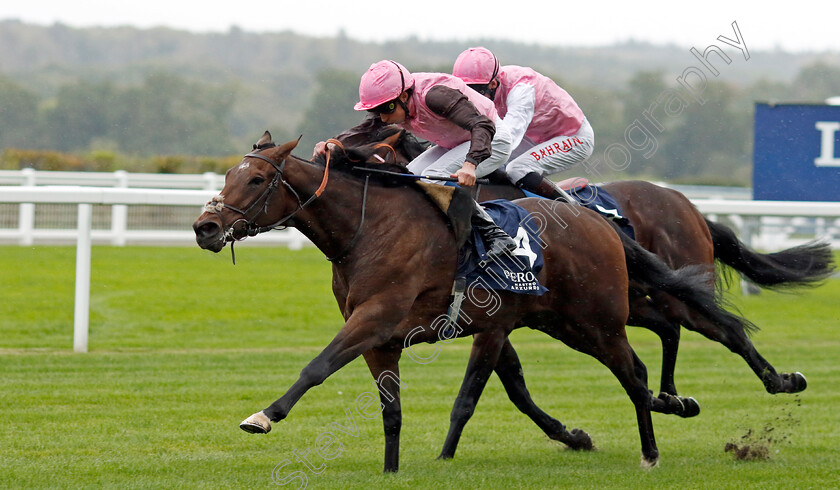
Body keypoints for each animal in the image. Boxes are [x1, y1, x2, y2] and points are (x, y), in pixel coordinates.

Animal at [194, 131, 752, 470]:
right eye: (226, 176)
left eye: (257, 179)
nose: (205, 227)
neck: (367, 230)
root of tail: (597, 221)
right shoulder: (384, 338)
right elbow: (393, 410)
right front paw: (392, 469)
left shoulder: (379, 318)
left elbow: (318, 367)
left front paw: (264, 415)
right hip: (568, 323)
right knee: (648, 354)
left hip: (601, 321)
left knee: (642, 368)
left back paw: (654, 448)